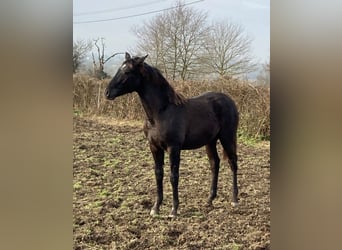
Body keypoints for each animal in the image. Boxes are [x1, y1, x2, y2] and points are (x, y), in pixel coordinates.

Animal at [105, 52, 239, 217]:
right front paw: (155, 208)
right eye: (119, 68)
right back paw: (209, 200)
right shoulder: (154, 147)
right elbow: (158, 174)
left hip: (227, 137)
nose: (107, 92)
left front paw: (174, 210)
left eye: (127, 72)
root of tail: (230, 100)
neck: (160, 113)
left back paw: (234, 200)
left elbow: (173, 176)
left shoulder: (173, 148)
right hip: (210, 141)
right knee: (215, 163)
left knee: (233, 163)